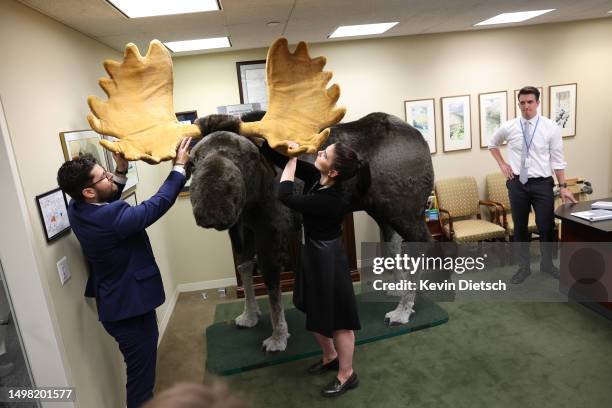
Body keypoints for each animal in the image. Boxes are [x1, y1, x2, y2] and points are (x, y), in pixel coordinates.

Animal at [87, 37, 436, 350]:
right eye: (194, 159)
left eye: (246, 156)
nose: (212, 209)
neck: (251, 201)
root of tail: (421, 139)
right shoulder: (240, 229)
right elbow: (244, 267)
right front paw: (249, 316)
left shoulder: (274, 229)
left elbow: (271, 282)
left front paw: (278, 336)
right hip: (381, 210)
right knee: (393, 243)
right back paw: (396, 292)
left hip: (406, 209)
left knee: (421, 244)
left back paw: (403, 310)